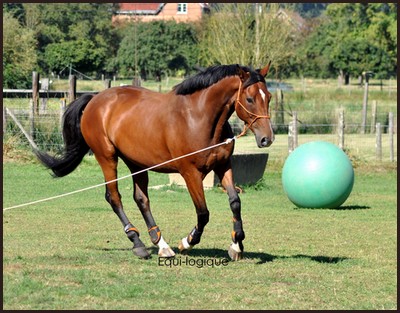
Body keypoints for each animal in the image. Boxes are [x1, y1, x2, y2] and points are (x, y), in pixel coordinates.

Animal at [35, 62, 276, 260]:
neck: (198, 118)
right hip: (107, 158)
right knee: (114, 197)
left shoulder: (223, 165)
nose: (267, 138)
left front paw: (236, 245)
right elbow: (203, 212)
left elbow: (235, 202)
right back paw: (138, 244)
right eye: (250, 99)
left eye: (269, 97)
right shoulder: (190, 173)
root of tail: (95, 99)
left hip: (137, 163)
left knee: (141, 199)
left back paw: (161, 244)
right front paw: (187, 241)